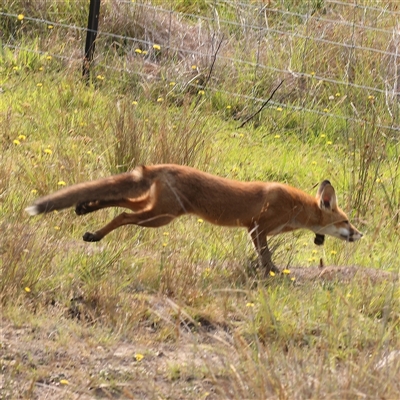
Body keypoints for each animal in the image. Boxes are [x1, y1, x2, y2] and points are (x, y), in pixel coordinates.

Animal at [25, 162, 362, 272]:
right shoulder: (257, 228)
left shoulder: (259, 230)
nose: (360, 235)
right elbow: (265, 255)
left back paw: (85, 210)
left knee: (117, 200)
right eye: (346, 222)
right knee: (121, 214)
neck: (295, 208)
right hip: (159, 217)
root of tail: (160, 166)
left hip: (155, 209)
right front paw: (273, 271)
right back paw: (94, 235)